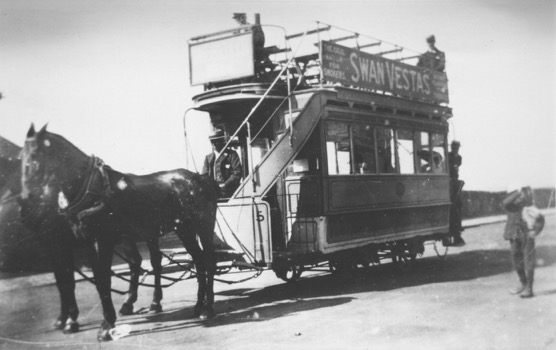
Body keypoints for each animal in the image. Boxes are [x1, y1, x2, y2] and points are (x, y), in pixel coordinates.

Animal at [20, 124, 218, 340]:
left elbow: (97, 280)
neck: (89, 190)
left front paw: (104, 325)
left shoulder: (96, 242)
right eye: (21, 158)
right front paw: (76, 321)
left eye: (35, 156)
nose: (26, 200)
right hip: (183, 229)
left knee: (208, 261)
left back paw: (207, 308)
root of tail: (199, 178)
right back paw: (195, 305)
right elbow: (86, 281)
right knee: (196, 261)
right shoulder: (83, 243)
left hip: (203, 226)